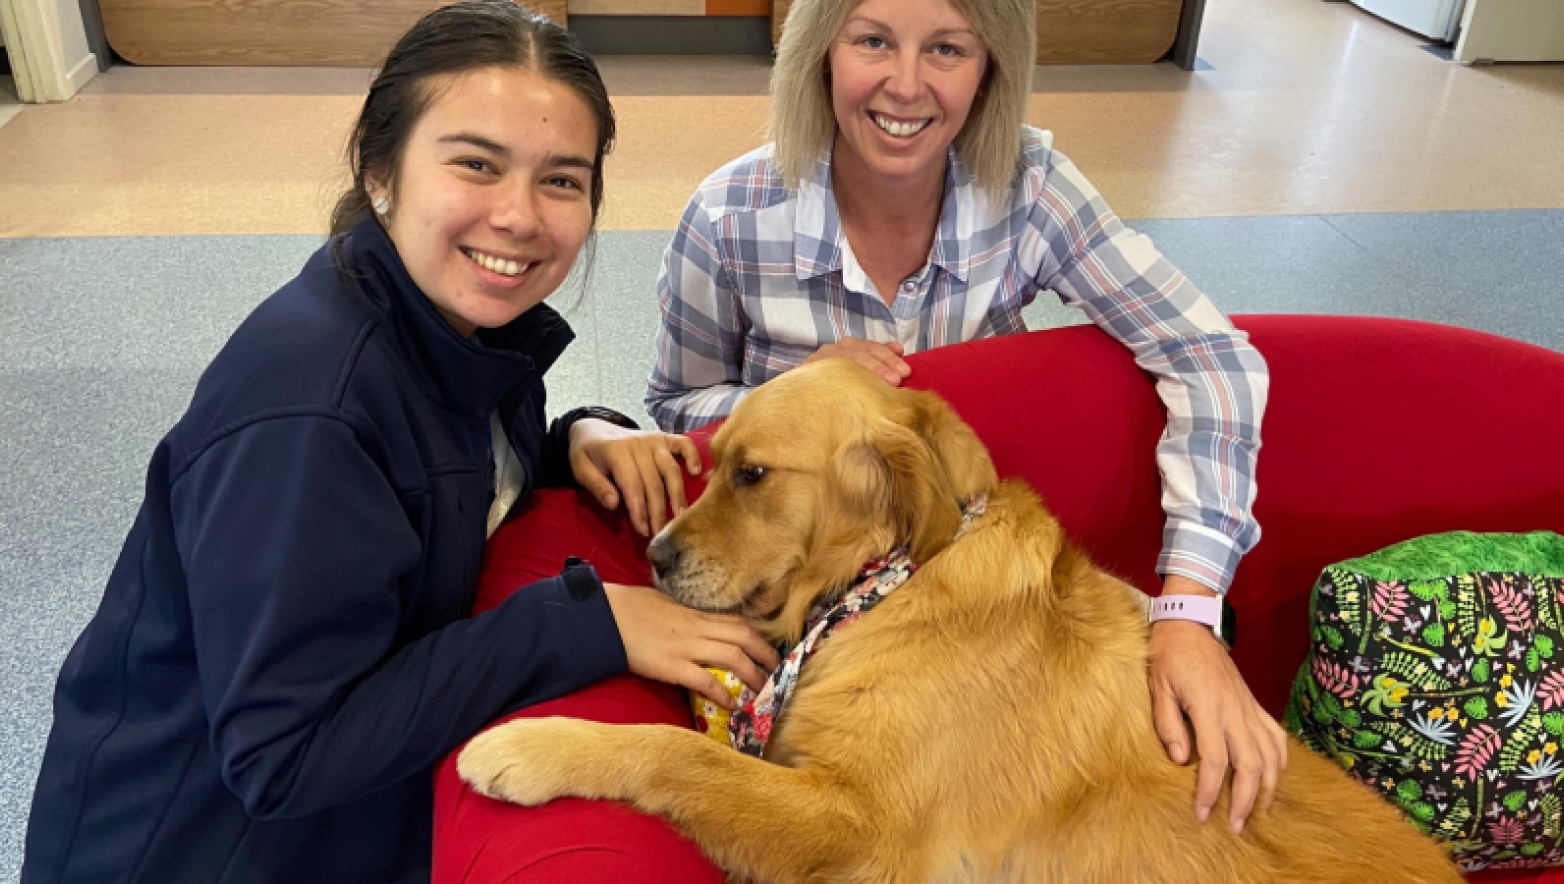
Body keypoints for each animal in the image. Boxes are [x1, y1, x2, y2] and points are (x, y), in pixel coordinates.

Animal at [456, 358, 1457, 882]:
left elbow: (682, 754)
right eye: (716, 465)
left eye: (753, 474)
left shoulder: (862, 826)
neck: (889, 583)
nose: (656, 554)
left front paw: (530, 746)